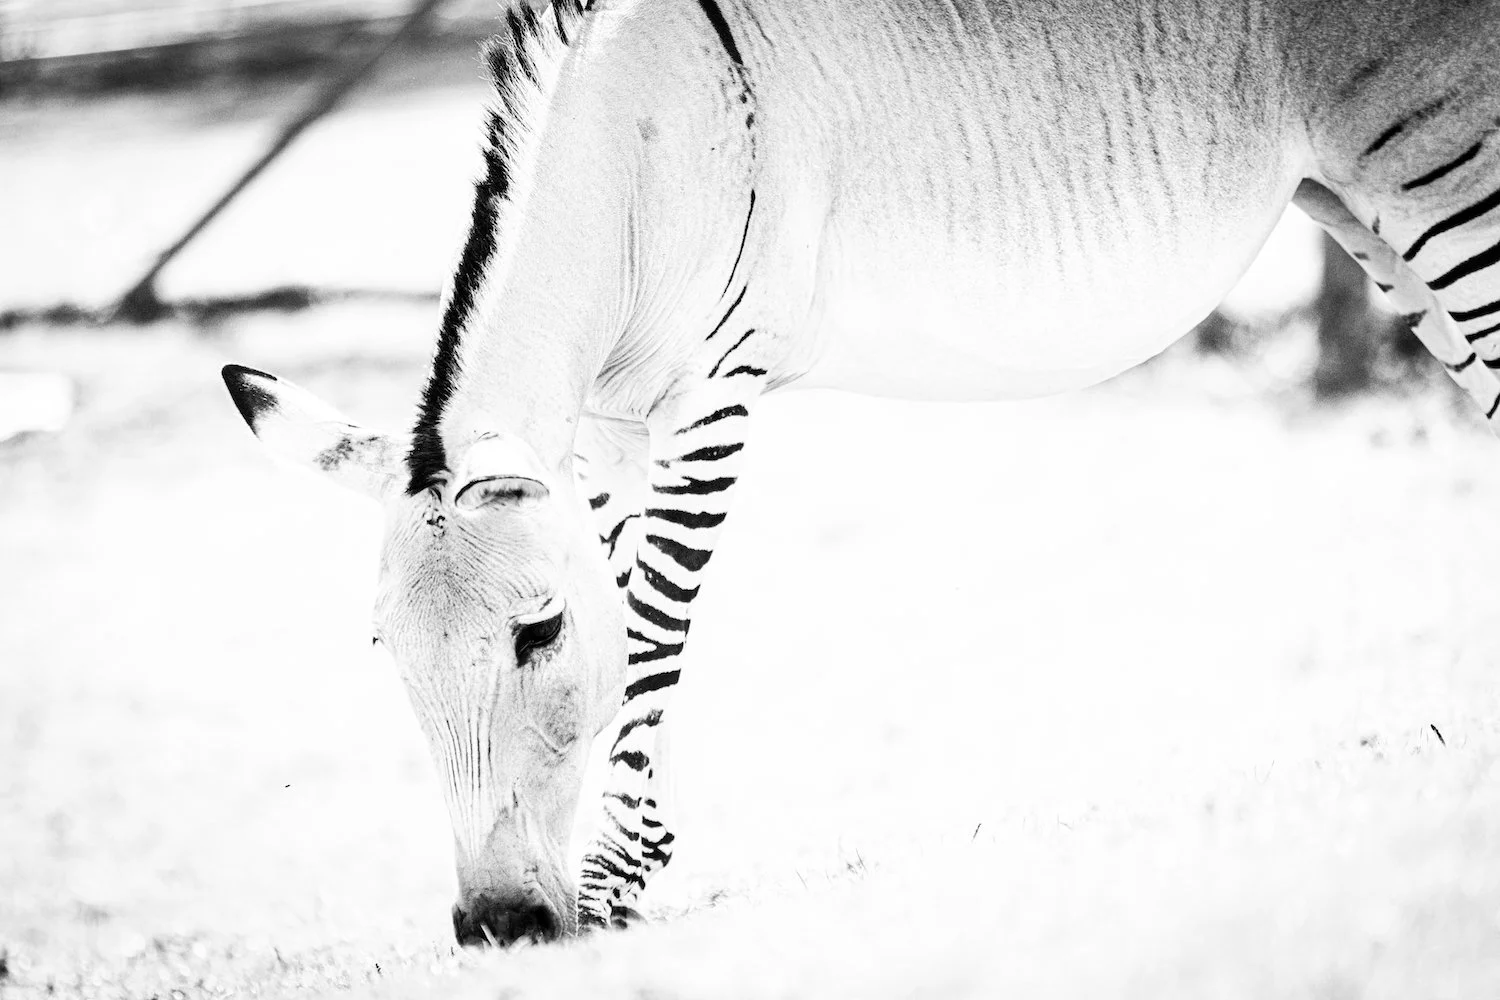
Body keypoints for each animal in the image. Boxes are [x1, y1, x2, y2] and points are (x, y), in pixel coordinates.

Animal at [222, 0, 1500, 945]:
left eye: (536, 634)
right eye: (385, 653)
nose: (499, 928)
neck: (634, 165)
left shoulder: (714, 390)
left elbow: (656, 628)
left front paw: (615, 884)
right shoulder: (612, 432)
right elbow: (633, 637)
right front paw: (635, 867)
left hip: (1447, 175)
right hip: (1375, 207)